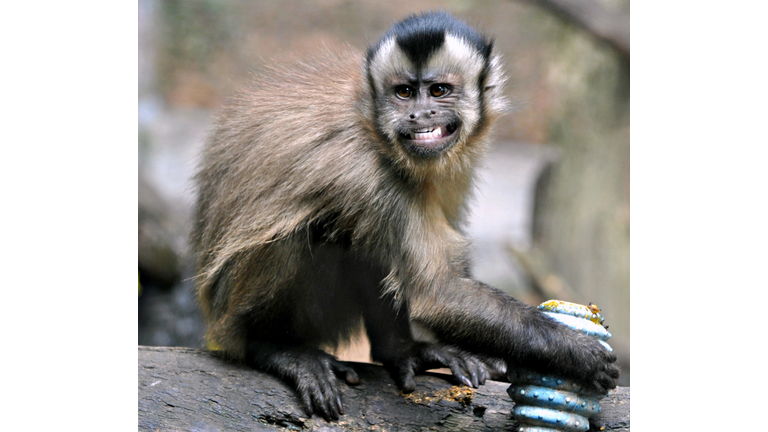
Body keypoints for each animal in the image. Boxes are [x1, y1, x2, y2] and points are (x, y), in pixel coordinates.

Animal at [192, 11, 616, 422]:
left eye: (439, 91)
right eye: (405, 93)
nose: (420, 113)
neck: (376, 131)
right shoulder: (371, 172)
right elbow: (435, 291)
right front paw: (574, 351)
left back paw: (399, 352)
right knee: (312, 228)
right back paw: (272, 346)